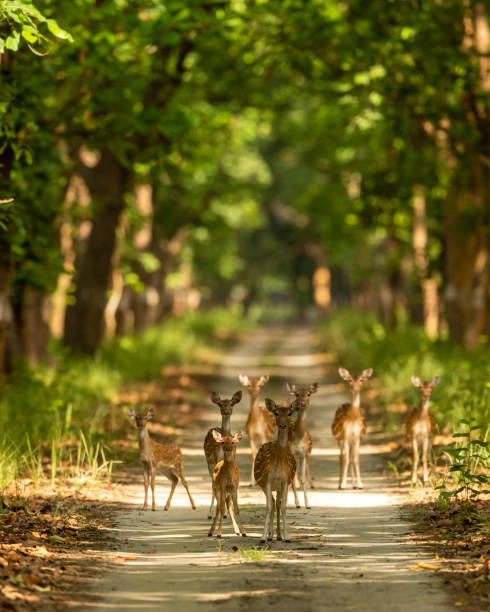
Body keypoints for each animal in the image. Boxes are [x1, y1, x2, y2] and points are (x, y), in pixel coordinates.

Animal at [255, 400, 296, 544]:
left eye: (290, 413)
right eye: (276, 413)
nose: (283, 425)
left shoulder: (285, 481)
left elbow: (283, 506)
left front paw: (287, 537)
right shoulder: (266, 480)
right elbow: (268, 507)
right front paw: (262, 537)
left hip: (280, 486)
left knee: (277, 503)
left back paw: (278, 535)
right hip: (263, 484)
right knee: (272, 503)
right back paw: (270, 535)